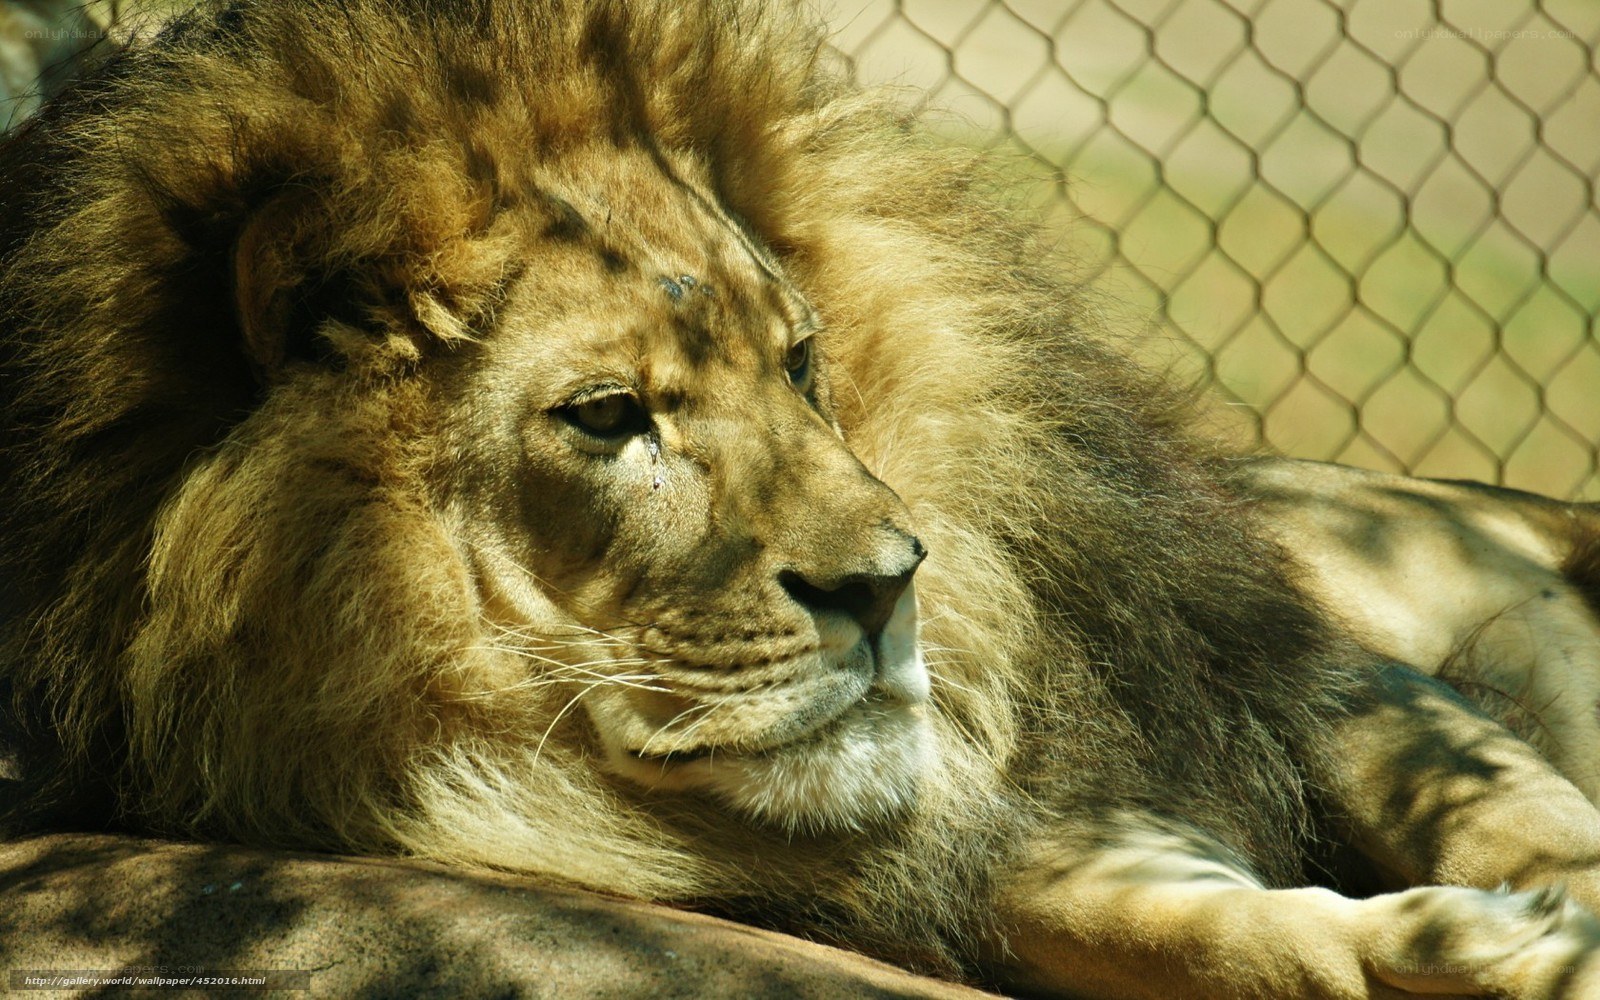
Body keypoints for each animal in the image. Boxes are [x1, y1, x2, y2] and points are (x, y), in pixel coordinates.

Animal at [3, 0, 1600, 996]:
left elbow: (1505, 811)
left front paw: (1552, 920)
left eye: (800, 361)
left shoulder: (1305, 665)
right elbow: (1182, 930)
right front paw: (1454, 949)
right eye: (609, 418)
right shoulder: (981, 862)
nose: (893, 585)